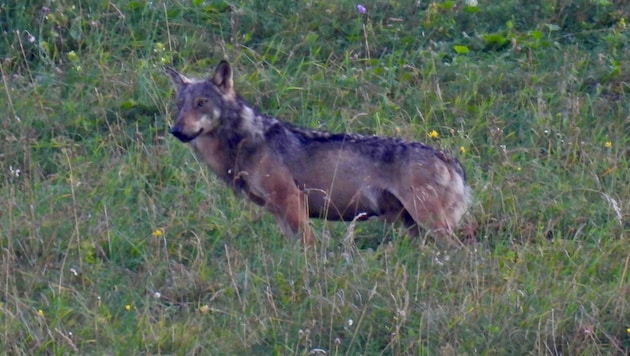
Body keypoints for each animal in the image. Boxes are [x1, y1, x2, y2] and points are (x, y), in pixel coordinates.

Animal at [165, 60, 472, 245]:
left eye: (202, 103)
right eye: (180, 105)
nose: (176, 131)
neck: (245, 142)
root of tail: (449, 159)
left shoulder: (291, 201)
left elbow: (307, 248)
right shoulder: (279, 211)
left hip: (429, 223)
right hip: (411, 225)